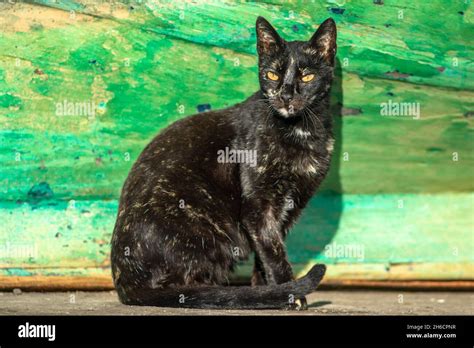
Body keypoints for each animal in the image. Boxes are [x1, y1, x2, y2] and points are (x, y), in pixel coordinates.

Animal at [111, 16, 336, 310]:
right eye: (272, 75)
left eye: (307, 76)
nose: (285, 95)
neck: (302, 131)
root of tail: (124, 281)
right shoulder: (258, 207)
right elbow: (274, 253)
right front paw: (288, 294)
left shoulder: (292, 206)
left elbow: (265, 255)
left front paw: (267, 291)